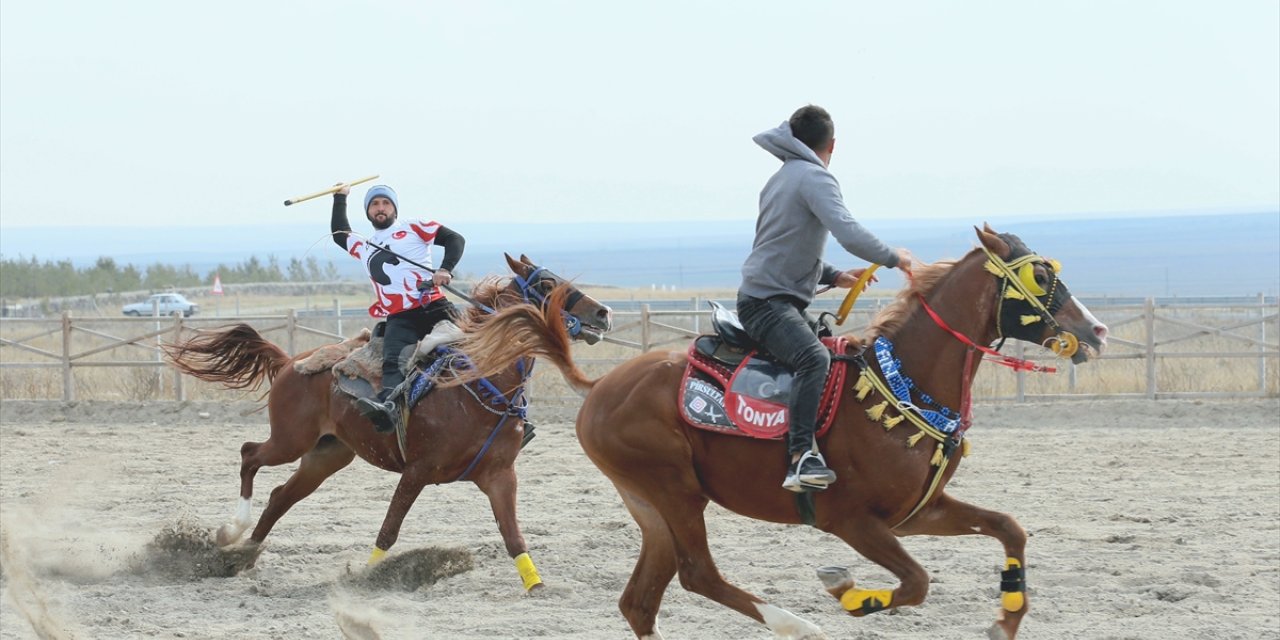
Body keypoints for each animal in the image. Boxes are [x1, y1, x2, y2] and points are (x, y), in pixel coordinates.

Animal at [163, 253, 609, 588]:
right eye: (548, 285)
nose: (603, 313)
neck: (476, 381)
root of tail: (290, 362)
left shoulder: (500, 476)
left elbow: (514, 537)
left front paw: (536, 585)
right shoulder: (416, 471)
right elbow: (389, 529)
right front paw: (366, 576)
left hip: (326, 455)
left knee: (279, 497)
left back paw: (243, 556)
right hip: (290, 440)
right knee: (249, 455)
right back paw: (232, 533)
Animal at [450, 227, 1111, 637]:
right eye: (1039, 275)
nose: (1097, 330)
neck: (902, 383)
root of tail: (602, 386)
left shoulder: (917, 512)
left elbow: (1009, 527)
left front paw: (1006, 617)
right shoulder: (852, 520)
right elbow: (917, 582)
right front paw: (849, 593)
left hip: (650, 505)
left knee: (640, 601)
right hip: (675, 492)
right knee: (698, 575)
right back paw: (798, 624)